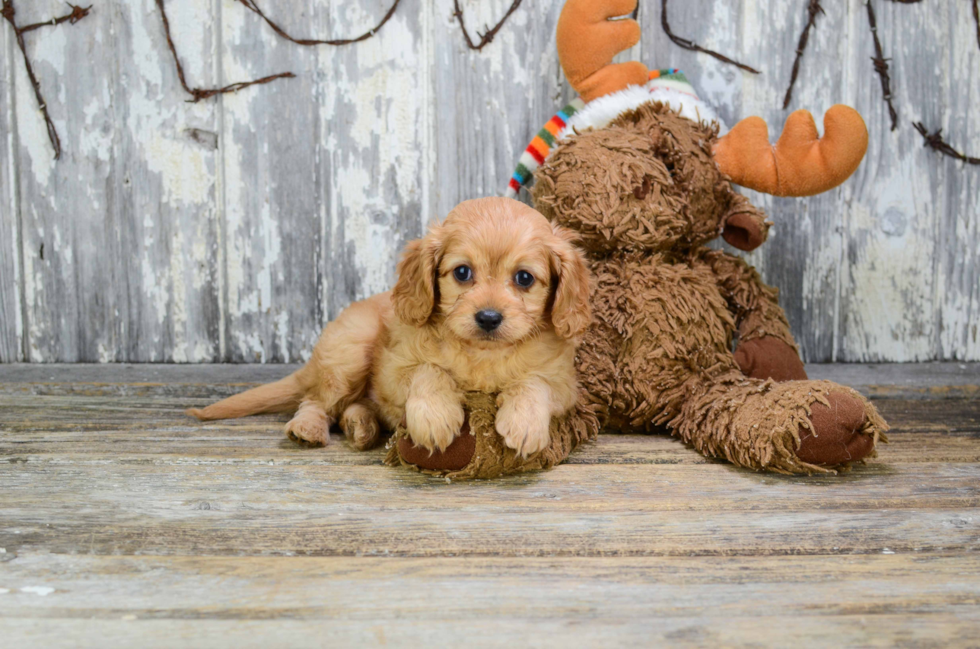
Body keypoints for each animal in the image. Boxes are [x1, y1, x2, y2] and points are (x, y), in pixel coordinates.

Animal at [189, 196, 592, 456]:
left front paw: (524, 423)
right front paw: (434, 417)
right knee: (316, 400)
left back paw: (360, 426)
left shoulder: (564, 385)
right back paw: (309, 428)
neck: (481, 354)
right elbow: (429, 370)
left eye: (524, 278)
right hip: (351, 350)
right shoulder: (392, 372)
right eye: (462, 272)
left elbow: (533, 382)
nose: (489, 318)